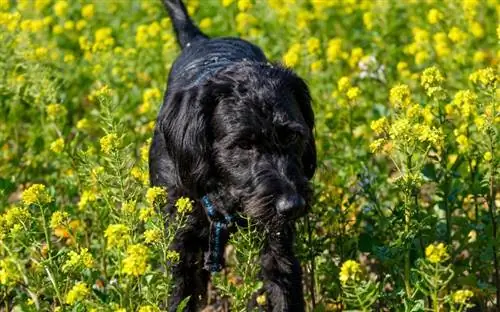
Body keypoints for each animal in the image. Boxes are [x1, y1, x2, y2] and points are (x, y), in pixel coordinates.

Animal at [149, 1, 316, 310]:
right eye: (243, 145)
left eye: (293, 137)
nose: (292, 206)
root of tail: (199, 39)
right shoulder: (181, 246)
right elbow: (179, 293)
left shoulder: (276, 245)